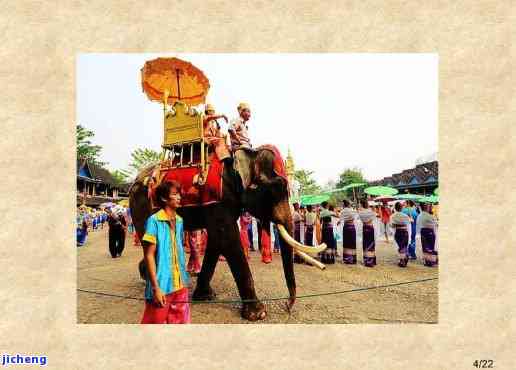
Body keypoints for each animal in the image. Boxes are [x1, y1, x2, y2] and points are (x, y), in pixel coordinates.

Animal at [130, 147, 322, 320]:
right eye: (274, 189)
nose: (287, 306)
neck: (245, 153)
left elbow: (216, 239)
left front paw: (205, 296)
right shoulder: (219, 199)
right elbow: (228, 238)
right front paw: (258, 314)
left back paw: (146, 277)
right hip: (141, 206)